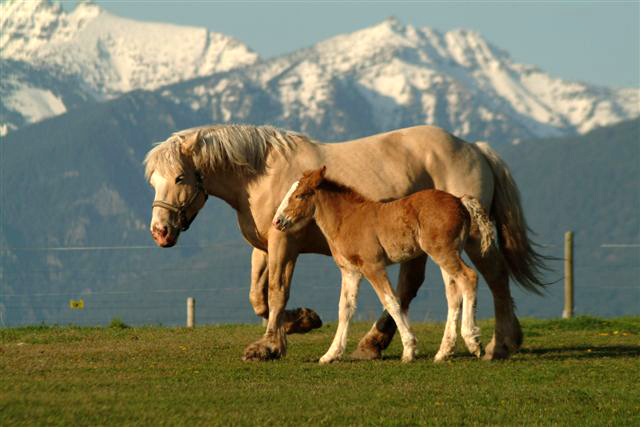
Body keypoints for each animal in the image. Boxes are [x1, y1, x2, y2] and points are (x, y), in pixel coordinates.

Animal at [145, 123, 544, 362]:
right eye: (153, 180)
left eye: (179, 177)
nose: (159, 231)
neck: (261, 175)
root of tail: (475, 148)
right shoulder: (264, 245)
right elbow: (259, 298)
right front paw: (301, 321)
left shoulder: (283, 241)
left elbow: (276, 292)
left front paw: (270, 345)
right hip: (423, 246)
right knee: (412, 285)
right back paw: (375, 343)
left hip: (471, 242)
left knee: (493, 278)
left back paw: (499, 343)